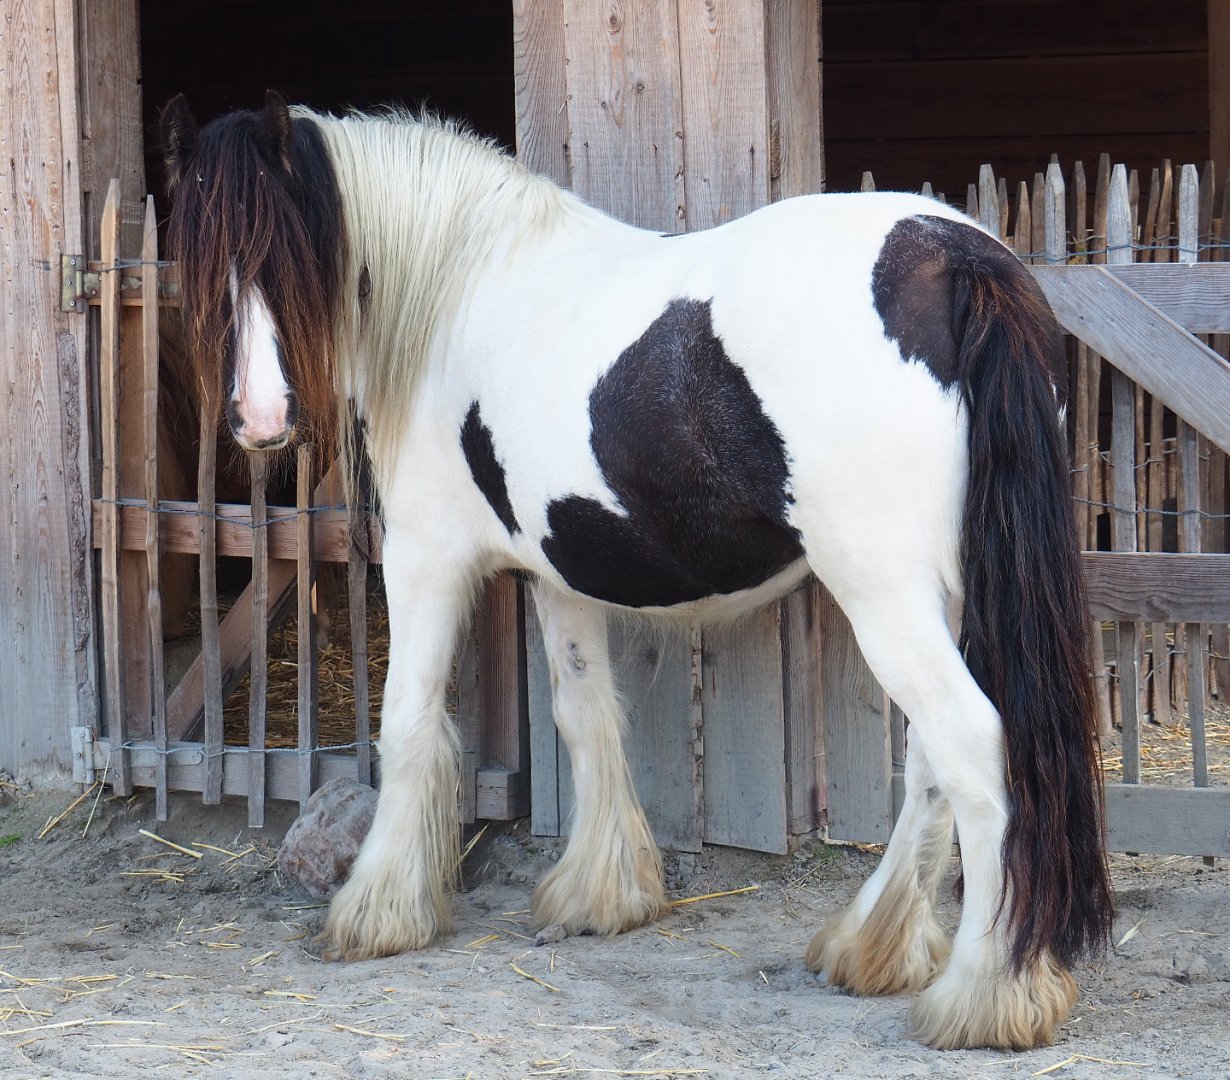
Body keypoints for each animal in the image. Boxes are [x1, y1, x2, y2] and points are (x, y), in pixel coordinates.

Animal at [161, 90, 1113, 1051]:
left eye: (289, 255)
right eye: (201, 260)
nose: (259, 420)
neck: (459, 289)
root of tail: (959, 256)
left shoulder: (426, 557)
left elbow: (408, 724)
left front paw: (375, 912)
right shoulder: (555, 575)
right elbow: (585, 716)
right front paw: (600, 896)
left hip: (884, 593)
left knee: (975, 748)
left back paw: (986, 994)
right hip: (939, 591)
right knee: (930, 763)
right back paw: (872, 948)